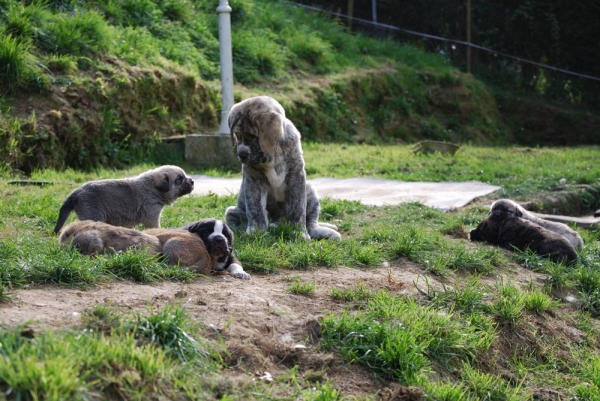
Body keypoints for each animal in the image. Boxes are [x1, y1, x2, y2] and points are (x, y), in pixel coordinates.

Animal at [53, 164, 195, 233]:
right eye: (179, 179)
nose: (193, 181)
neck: (153, 187)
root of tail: (77, 192)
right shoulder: (151, 217)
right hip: (94, 215)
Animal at [224, 95, 340, 239]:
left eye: (253, 136)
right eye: (237, 135)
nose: (242, 154)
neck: (273, 154)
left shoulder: (296, 175)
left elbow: (298, 208)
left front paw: (298, 232)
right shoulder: (253, 178)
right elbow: (255, 208)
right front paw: (256, 231)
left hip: (310, 191)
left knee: (311, 224)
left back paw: (326, 232)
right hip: (232, 212)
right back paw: (272, 226)